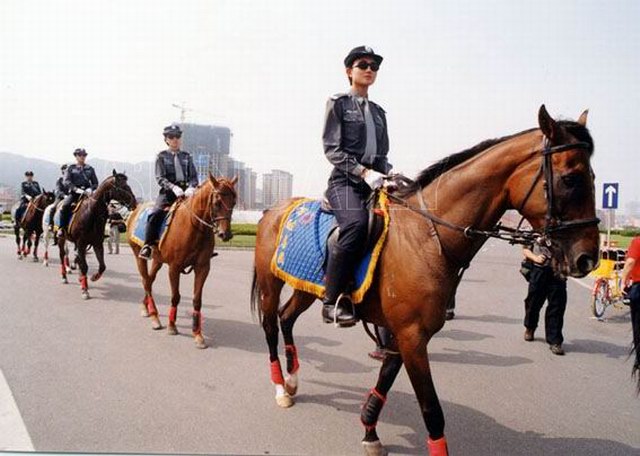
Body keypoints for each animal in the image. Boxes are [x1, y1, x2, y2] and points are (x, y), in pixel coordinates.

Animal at [57, 171, 138, 300]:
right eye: (123, 186)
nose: (134, 202)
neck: (91, 213)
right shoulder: (81, 243)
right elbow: (84, 266)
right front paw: (85, 290)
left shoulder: (97, 243)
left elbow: (102, 266)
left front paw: (93, 277)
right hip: (62, 238)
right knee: (62, 255)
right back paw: (64, 276)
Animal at [126, 175, 236, 350]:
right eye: (217, 202)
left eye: (234, 202)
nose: (225, 234)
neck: (194, 226)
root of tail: (136, 209)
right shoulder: (174, 267)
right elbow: (175, 296)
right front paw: (172, 326)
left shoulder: (203, 267)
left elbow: (197, 300)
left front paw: (197, 334)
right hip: (138, 255)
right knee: (145, 281)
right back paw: (155, 317)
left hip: (157, 260)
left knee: (149, 280)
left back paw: (146, 307)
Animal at [251, 105, 604, 454]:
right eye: (571, 179)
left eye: (592, 177)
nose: (588, 258)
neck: (427, 236)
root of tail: (273, 210)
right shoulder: (412, 336)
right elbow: (432, 409)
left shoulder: (402, 333)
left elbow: (385, 381)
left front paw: (370, 430)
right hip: (270, 284)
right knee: (270, 325)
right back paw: (280, 387)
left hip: (308, 288)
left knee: (286, 318)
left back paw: (293, 380)